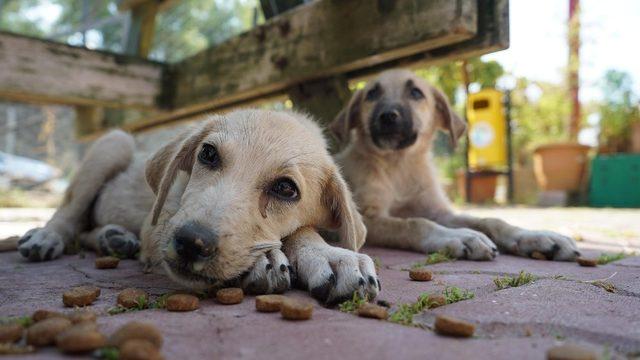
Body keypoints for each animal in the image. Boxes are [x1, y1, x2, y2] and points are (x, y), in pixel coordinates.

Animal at [332, 69, 584, 260]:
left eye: (416, 92)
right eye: (372, 94)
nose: (387, 116)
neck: (399, 166)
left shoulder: (438, 212)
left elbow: (489, 219)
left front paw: (534, 236)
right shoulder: (368, 219)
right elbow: (414, 223)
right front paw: (460, 236)